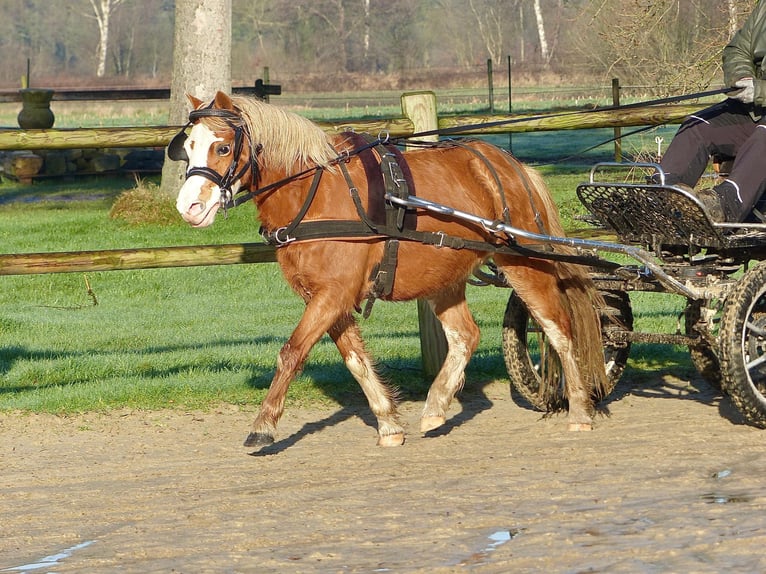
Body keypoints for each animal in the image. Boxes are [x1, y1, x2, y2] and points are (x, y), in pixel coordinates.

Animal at [172, 91, 608, 450]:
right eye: (189, 147)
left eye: (222, 147)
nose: (189, 207)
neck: (316, 192)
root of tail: (513, 167)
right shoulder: (329, 298)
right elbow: (356, 361)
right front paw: (388, 424)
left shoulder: (332, 294)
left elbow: (292, 353)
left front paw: (263, 426)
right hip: (444, 275)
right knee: (465, 336)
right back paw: (436, 406)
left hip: (523, 263)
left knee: (559, 330)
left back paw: (579, 410)